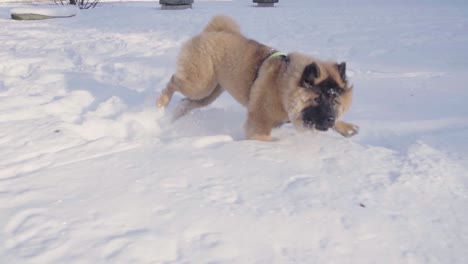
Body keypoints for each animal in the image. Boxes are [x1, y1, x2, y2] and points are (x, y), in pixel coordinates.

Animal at [157, 15, 358, 141]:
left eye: (334, 101)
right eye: (317, 99)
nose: (330, 119)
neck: (281, 84)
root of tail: (210, 31)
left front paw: (346, 127)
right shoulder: (258, 125)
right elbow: (267, 139)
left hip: (209, 94)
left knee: (184, 103)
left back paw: (167, 121)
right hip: (200, 84)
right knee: (173, 81)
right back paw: (160, 106)